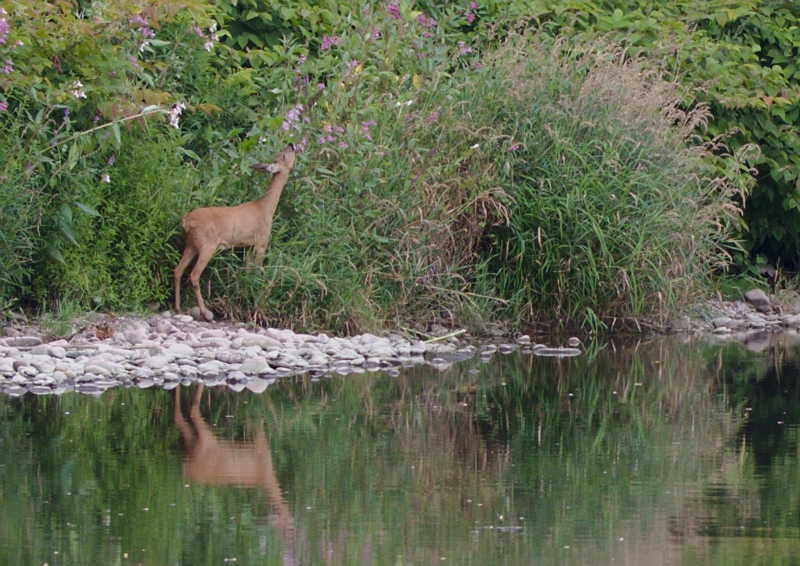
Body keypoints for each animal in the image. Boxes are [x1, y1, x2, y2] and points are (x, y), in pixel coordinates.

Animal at [173, 144, 296, 322]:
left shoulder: (249, 246)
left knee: (178, 270)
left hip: (191, 244)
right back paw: (205, 313)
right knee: (194, 275)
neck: (266, 209)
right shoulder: (262, 242)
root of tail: (186, 219)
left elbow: (248, 271)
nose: (292, 145)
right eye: (283, 156)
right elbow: (257, 271)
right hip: (207, 244)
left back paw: (177, 307)